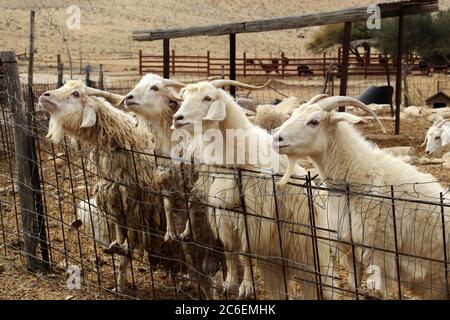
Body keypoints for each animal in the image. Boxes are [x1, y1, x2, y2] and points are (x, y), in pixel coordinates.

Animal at [172, 80, 334, 300]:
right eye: (184, 98)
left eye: (208, 98)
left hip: (308, 251)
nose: (177, 118)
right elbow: (230, 251)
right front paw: (230, 283)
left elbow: (246, 252)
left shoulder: (253, 219)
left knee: (317, 282)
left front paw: (246, 287)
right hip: (277, 258)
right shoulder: (223, 215)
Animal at [274, 95, 450, 300]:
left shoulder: (382, 253)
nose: (275, 139)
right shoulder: (350, 249)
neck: (361, 178)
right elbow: (353, 287)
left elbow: (379, 293)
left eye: (314, 121)